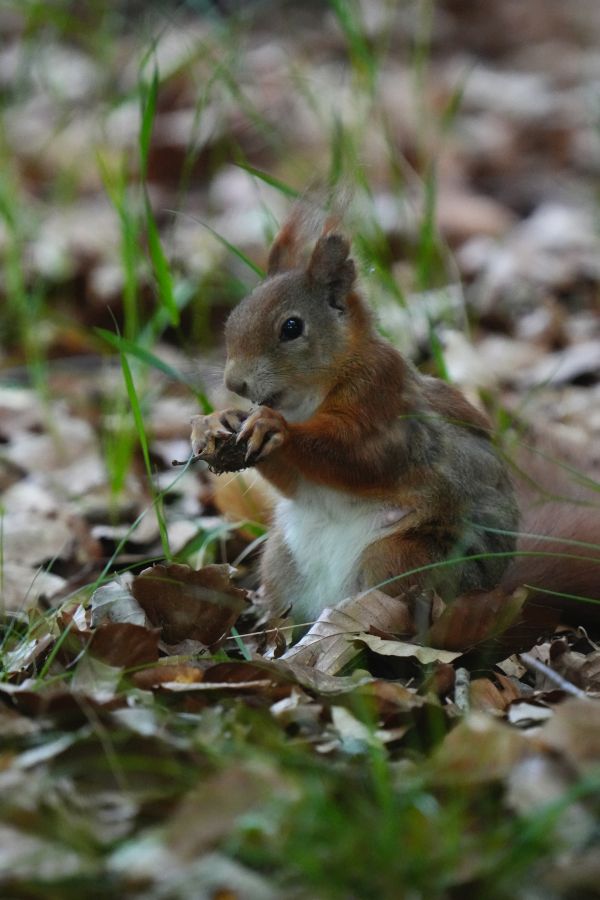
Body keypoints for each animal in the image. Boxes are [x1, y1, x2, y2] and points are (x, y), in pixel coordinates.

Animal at [191, 204, 599, 628]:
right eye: (234, 318)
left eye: (292, 327)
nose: (234, 382)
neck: (310, 396)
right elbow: (295, 482)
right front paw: (214, 422)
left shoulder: (384, 400)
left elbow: (362, 458)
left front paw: (276, 427)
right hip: (281, 561)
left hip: (403, 559)